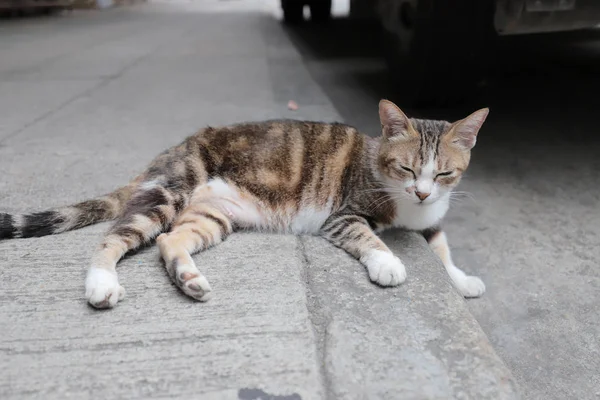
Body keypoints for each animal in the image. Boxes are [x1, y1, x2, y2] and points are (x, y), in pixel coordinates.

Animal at [0, 100, 488, 310]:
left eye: (443, 174)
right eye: (406, 168)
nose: (421, 192)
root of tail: (171, 150)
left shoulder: (432, 217)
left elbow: (442, 247)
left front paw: (462, 281)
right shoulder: (344, 214)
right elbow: (367, 236)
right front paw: (388, 263)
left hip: (213, 215)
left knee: (171, 241)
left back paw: (189, 278)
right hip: (168, 193)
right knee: (112, 239)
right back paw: (101, 283)